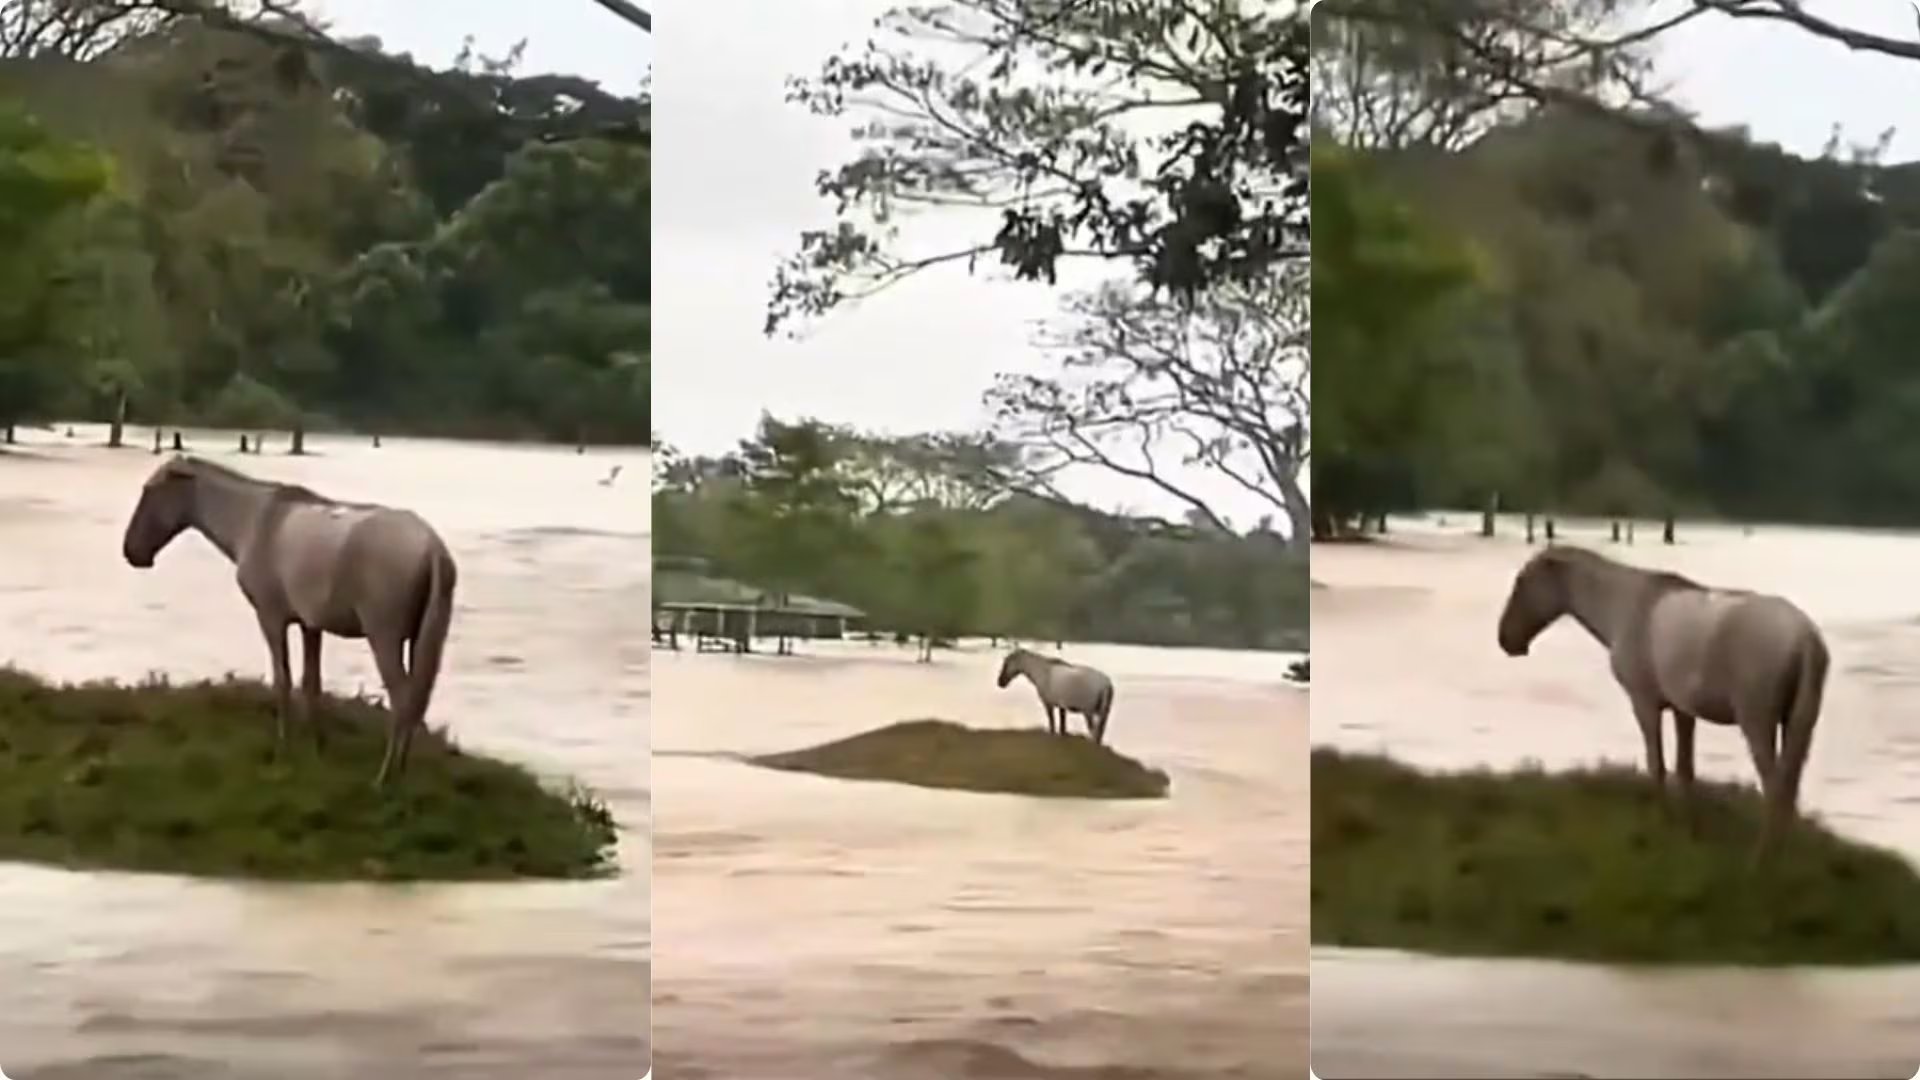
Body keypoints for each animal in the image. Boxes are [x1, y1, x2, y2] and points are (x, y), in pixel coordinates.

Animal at [122, 456, 459, 786]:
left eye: (150, 491)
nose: (131, 552)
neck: (252, 520)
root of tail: (433, 550)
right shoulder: (311, 624)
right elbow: (312, 683)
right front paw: (318, 747)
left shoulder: (271, 616)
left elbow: (282, 680)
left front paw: (282, 750)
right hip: (420, 638)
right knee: (416, 700)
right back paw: (401, 769)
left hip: (384, 637)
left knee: (402, 699)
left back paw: (386, 776)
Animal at [1496, 545, 1829, 865]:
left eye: (1522, 582)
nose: (1505, 640)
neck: (1623, 604)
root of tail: (1806, 638)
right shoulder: (1683, 710)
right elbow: (1685, 768)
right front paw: (1691, 830)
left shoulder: (1643, 703)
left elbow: (1656, 764)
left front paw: (1661, 824)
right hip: (1799, 725)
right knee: (1789, 790)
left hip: (1757, 723)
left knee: (1775, 790)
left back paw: (1761, 862)